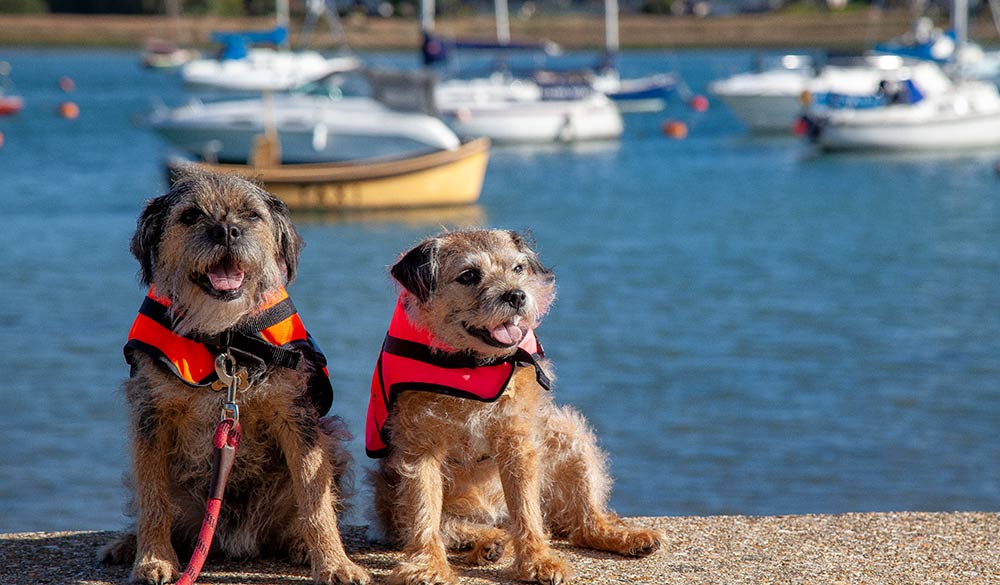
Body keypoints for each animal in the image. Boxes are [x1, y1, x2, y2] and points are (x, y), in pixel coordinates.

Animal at [100, 170, 372, 584]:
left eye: (251, 215)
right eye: (191, 216)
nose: (227, 230)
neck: (223, 337)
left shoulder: (296, 416)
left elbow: (316, 498)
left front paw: (334, 563)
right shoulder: (150, 417)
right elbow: (152, 497)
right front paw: (153, 560)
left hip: (333, 438)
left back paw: (299, 544)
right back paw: (128, 544)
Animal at [364, 228, 660, 584]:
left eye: (518, 268)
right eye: (469, 275)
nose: (516, 295)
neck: (470, 363)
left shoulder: (517, 441)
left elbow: (527, 509)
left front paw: (538, 561)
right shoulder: (420, 449)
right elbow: (424, 511)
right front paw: (427, 566)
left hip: (566, 433)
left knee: (583, 523)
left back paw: (624, 536)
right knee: (451, 526)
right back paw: (487, 542)